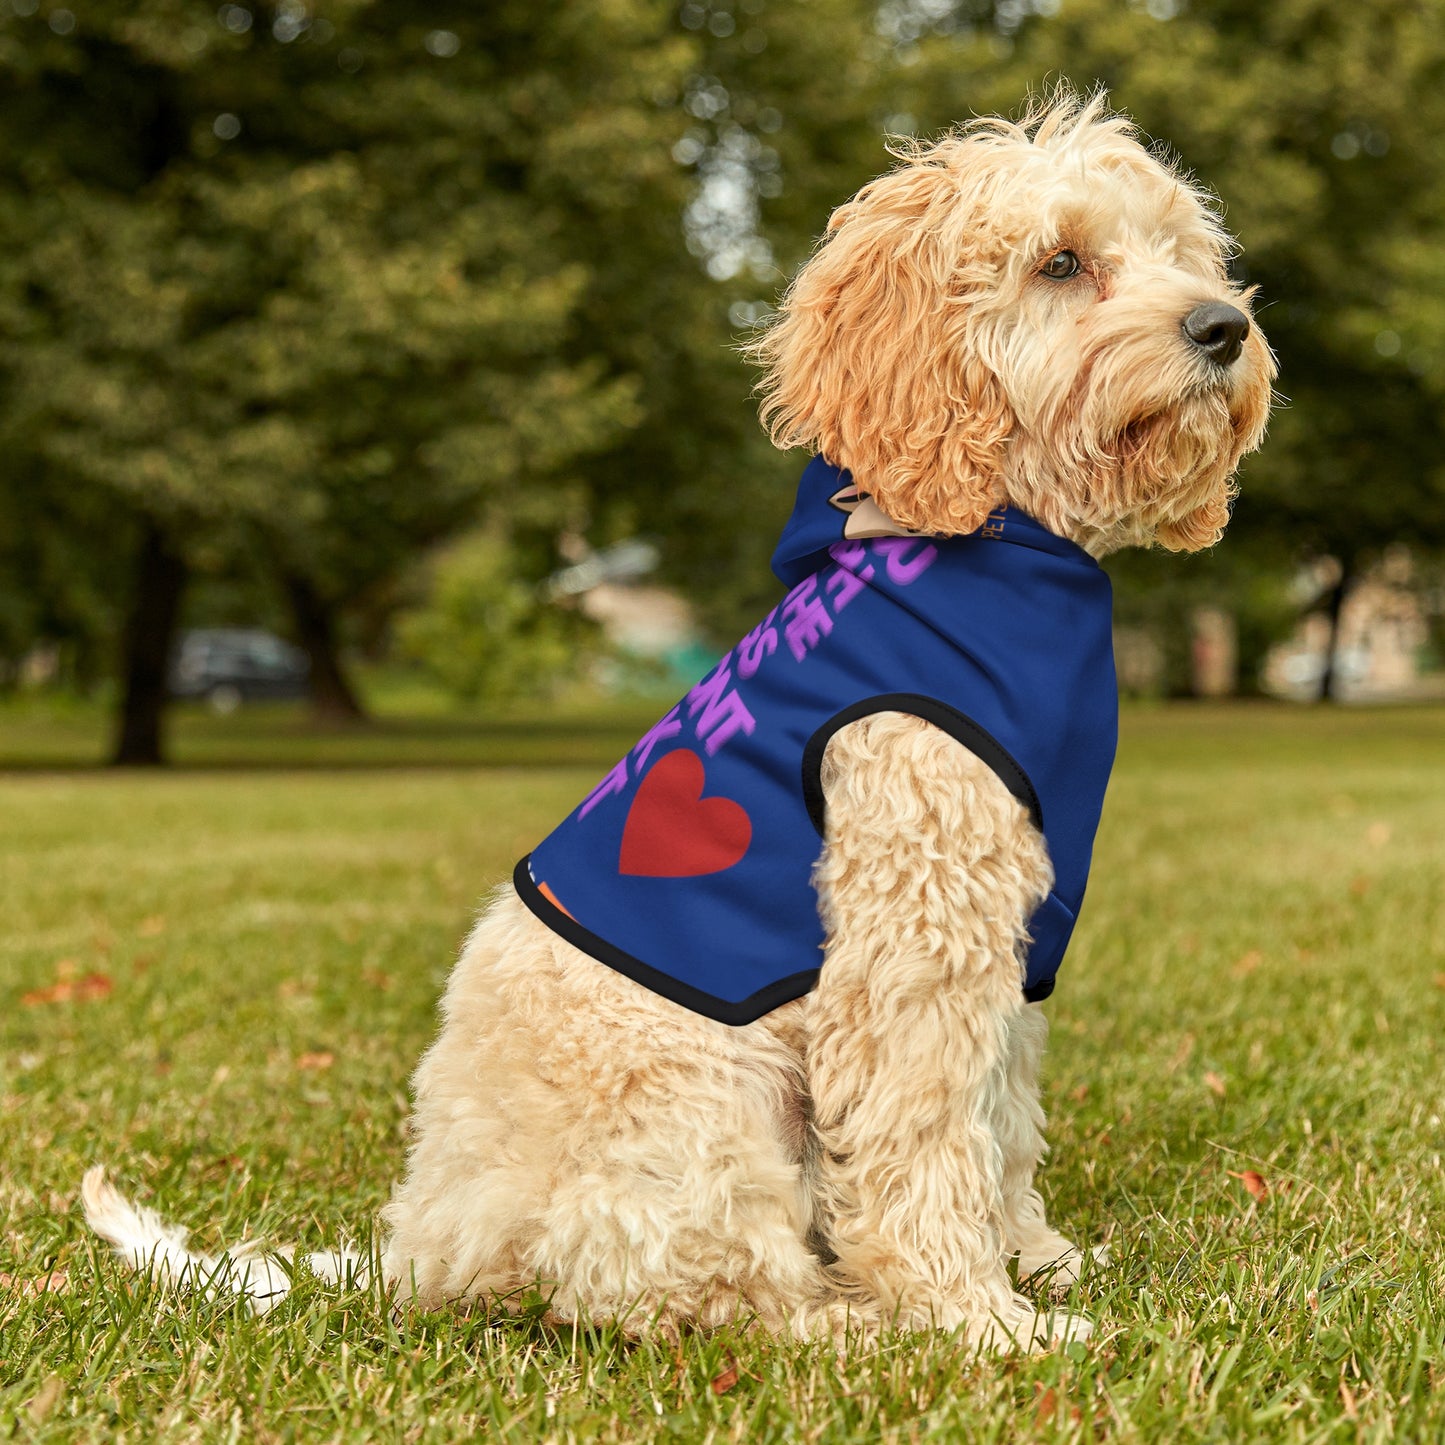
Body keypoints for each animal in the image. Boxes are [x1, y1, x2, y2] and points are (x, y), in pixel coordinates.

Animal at [84, 90, 1271, 1352]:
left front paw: (1035, 1259)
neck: (989, 542)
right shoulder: (912, 932)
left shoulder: (1009, 933)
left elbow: (999, 1118)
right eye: (1059, 262)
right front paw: (976, 1318)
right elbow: (924, 1136)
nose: (1222, 328)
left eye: (1180, 252)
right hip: (703, 1101)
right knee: (698, 1291)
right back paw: (852, 1322)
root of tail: (424, 1246)